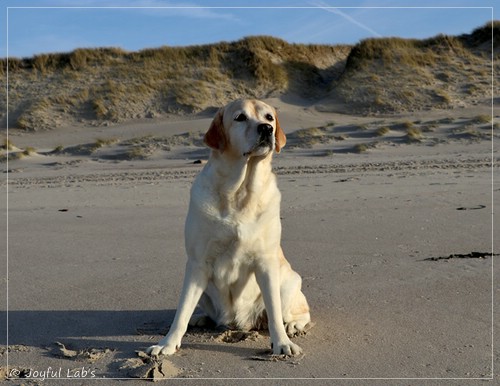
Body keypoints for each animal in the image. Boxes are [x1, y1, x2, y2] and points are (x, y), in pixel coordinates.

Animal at [146, 99, 310, 356]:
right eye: (240, 117)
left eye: (269, 117)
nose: (266, 129)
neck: (239, 193)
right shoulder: (197, 264)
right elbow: (181, 312)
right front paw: (167, 344)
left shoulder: (265, 262)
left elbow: (274, 313)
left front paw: (282, 344)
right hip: (203, 290)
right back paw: (201, 319)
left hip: (288, 282)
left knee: (297, 312)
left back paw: (293, 326)